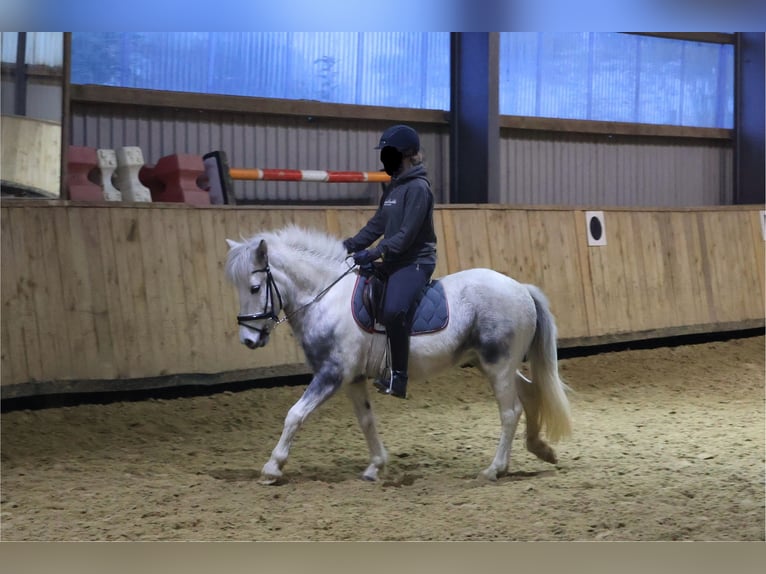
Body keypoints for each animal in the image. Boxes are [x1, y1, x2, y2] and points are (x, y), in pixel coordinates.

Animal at [224, 225, 572, 484]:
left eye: (254, 287)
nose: (248, 340)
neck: (326, 297)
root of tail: (521, 287)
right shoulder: (352, 378)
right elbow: (366, 420)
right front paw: (375, 466)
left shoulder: (331, 374)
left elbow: (295, 414)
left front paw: (272, 467)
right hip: (494, 363)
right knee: (530, 392)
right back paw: (540, 449)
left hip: (498, 364)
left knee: (510, 411)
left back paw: (493, 469)